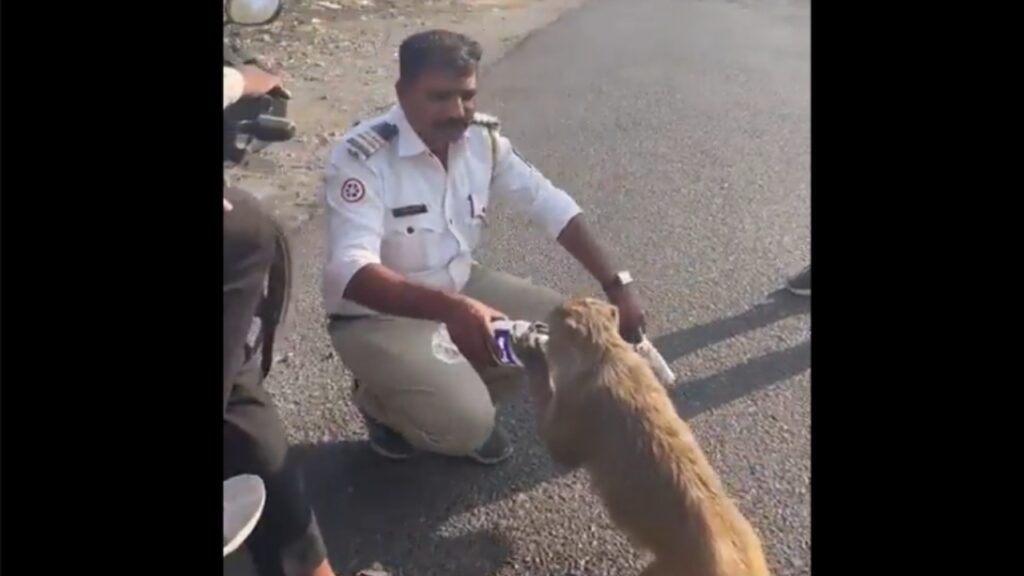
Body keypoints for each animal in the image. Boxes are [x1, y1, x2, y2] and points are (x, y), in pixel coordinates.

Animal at [516, 295, 770, 573]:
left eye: (557, 316)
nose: (542, 322)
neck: (607, 352)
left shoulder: (579, 401)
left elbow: (559, 448)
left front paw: (532, 354)